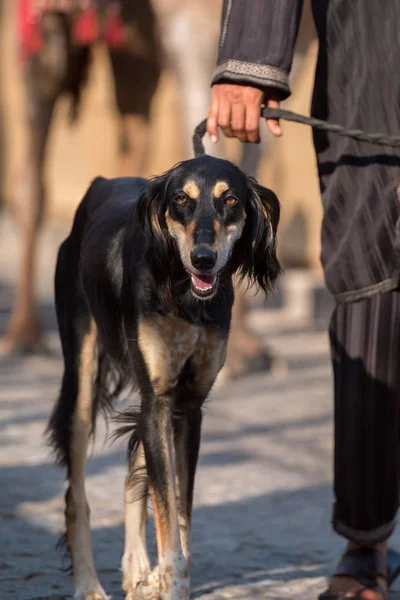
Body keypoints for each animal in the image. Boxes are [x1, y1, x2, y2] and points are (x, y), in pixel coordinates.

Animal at [47, 156, 282, 600]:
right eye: (180, 200)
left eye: (230, 199)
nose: (204, 258)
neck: (184, 294)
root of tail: (102, 181)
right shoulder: (158, 400)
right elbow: (168, 514)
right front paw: (168, 579)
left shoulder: (186, 407)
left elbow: (178, 509)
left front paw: (168, 579)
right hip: (83, 377)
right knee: (75, 496)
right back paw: (88, 584)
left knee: (134, 478)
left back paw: (138, 566)